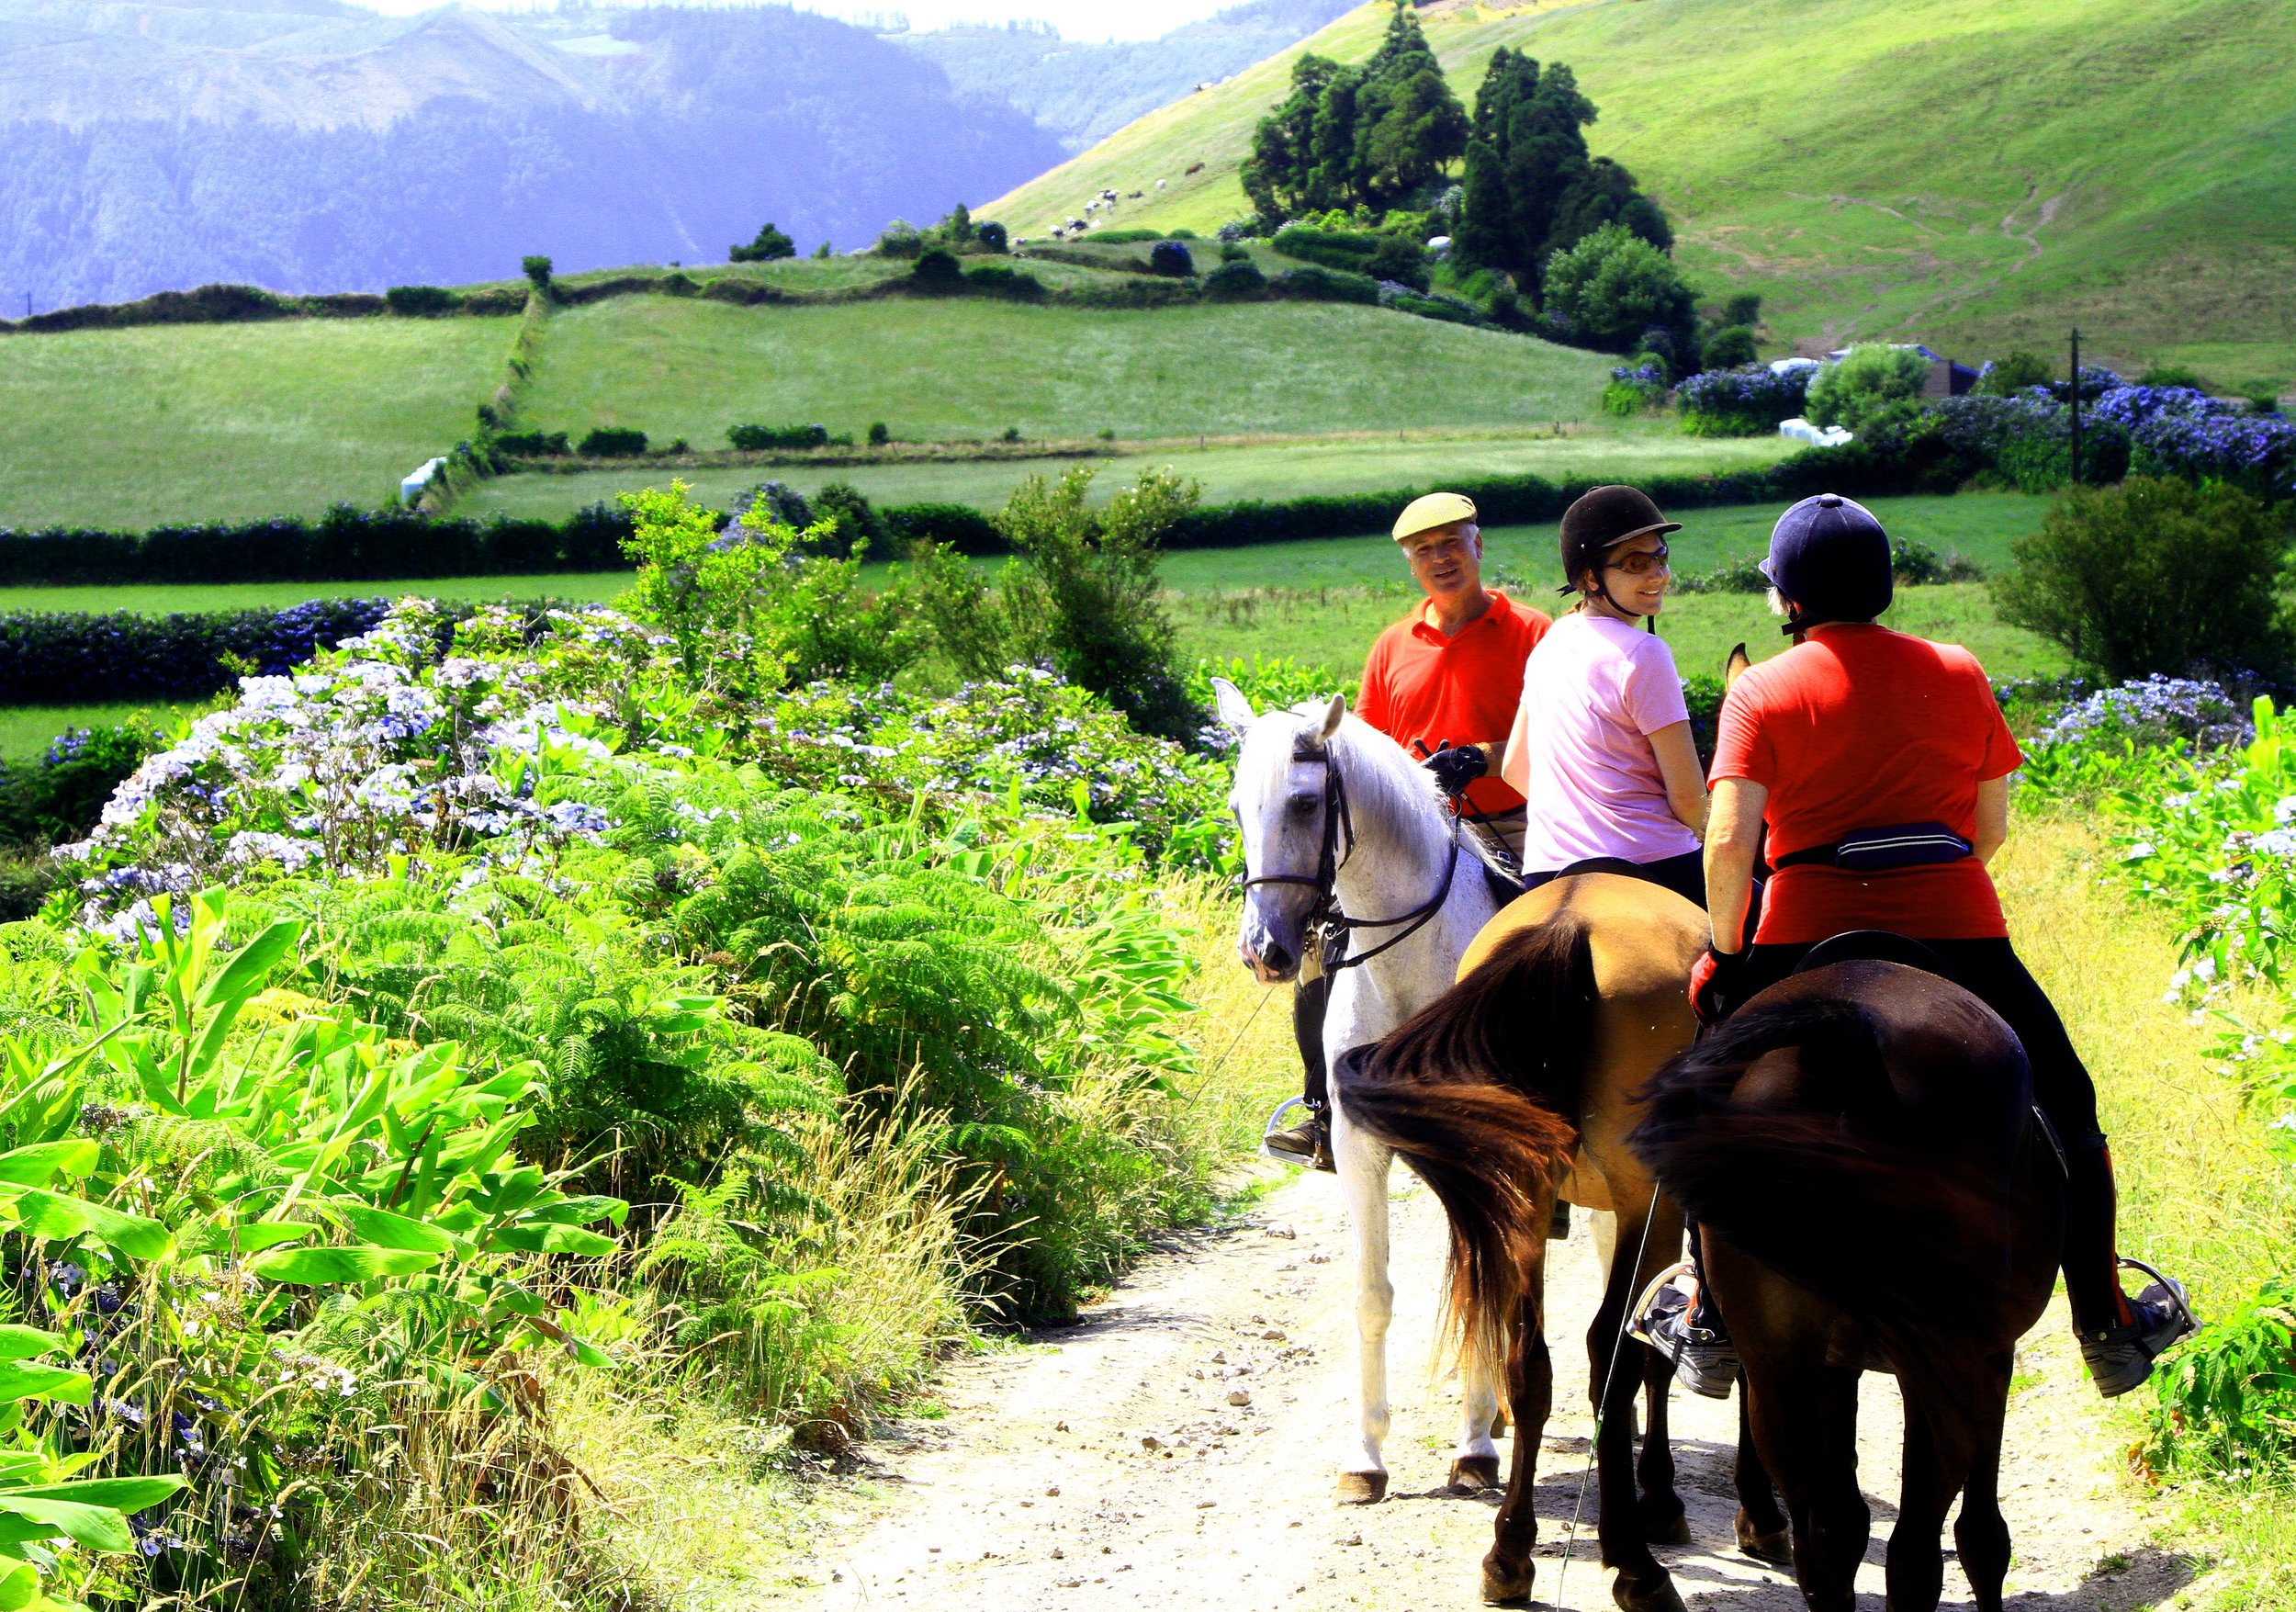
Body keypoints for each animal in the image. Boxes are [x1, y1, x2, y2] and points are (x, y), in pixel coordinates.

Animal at [1212, 680, 1515, 1506]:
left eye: (1306, 802)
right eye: (1238, 806)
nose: (1264, 951)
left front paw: (1474, 1446)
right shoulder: (1359, 1150)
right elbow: (1372, 1295)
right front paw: (1367, 1456)